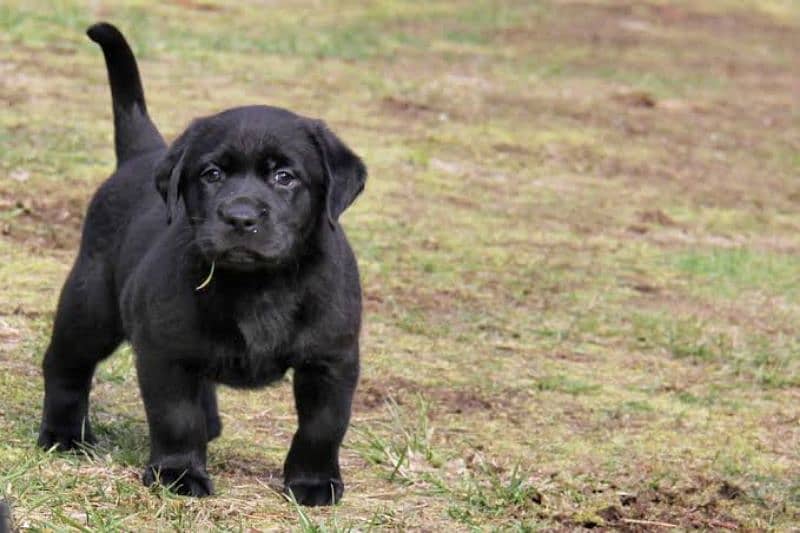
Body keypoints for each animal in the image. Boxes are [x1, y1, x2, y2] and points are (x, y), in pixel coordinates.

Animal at [35, 21, 366, 502]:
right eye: (212, 174)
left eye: (284, 177)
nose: (241, 216)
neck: (259, 285)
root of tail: (142, 155)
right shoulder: (166, 352)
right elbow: (175, 417)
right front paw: (179, 474)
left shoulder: (331, 359)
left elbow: (323, 427)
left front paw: (313, 482)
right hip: (90, 304)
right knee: (66, 366)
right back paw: (64, 435)